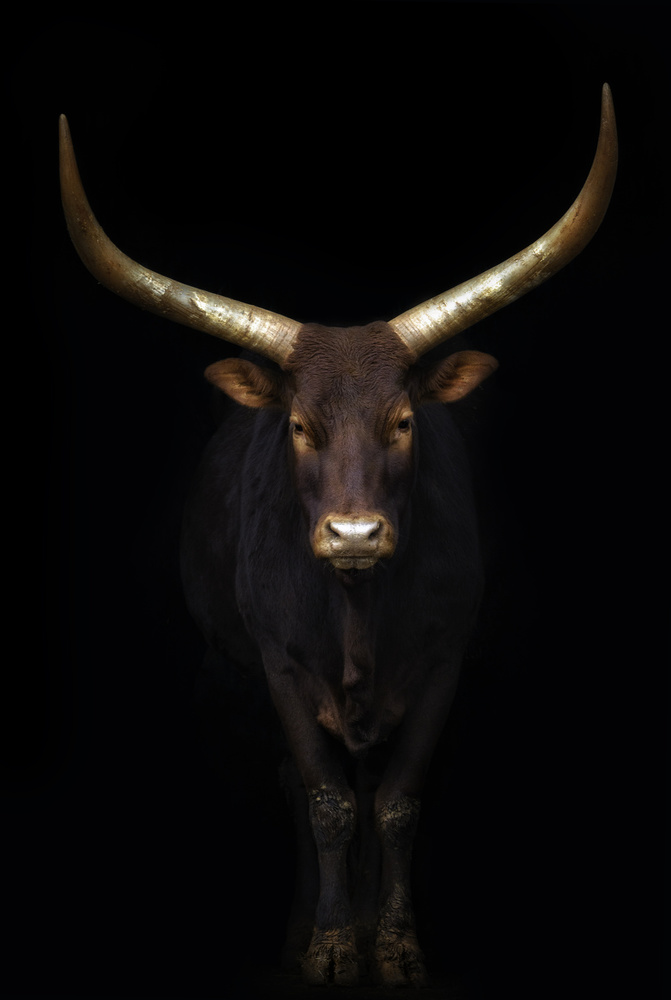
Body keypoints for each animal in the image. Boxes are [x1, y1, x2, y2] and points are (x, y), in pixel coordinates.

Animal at [59, 85, 617, 987]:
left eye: (402, 421)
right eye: (297, 425)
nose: (354, 533)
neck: (359, 618)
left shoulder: (443, 662)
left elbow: (394, 803)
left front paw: (390, 944)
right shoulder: (279, 665)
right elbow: (325, 800)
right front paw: (327, 945)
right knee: (306, 784)